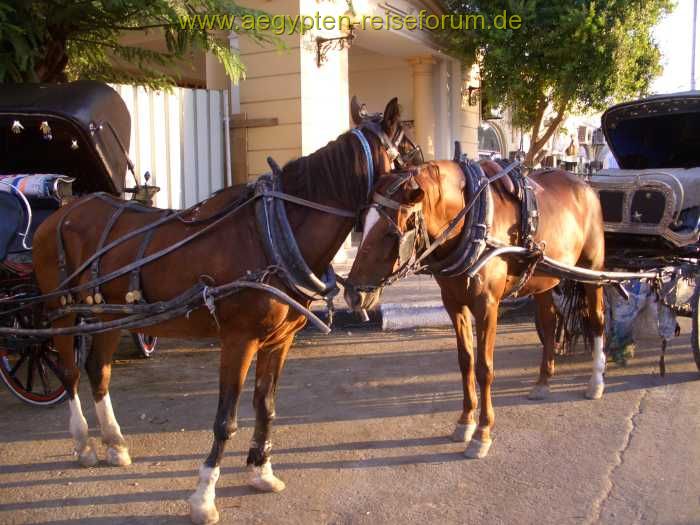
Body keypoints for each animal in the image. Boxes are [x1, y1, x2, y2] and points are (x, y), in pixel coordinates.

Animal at [30, 98, 416, 524]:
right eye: (411, 152)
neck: (272, 232)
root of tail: (65, 209)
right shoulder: (238, 340)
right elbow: (225, 420)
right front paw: (203, 496)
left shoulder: (279, 341)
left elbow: (266, 406)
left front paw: (261, 471)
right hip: (62, 312)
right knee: (68, 371)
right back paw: (83, 443)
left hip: (109, 315)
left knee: (98, 369)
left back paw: (115, 443)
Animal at [344, 159, 608, 458]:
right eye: (363, 223)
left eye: (390, 233)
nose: (352, 294)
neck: (471, 224)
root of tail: (586, 185)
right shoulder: (454, 304)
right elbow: (466, 361)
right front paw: (465, 422)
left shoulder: (487, 307)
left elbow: (484, 367)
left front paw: (482, 432)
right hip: (544, 278)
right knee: (549, 323)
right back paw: (543, 382)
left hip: (593, 271)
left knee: (597, 321)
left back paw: (596, 381)